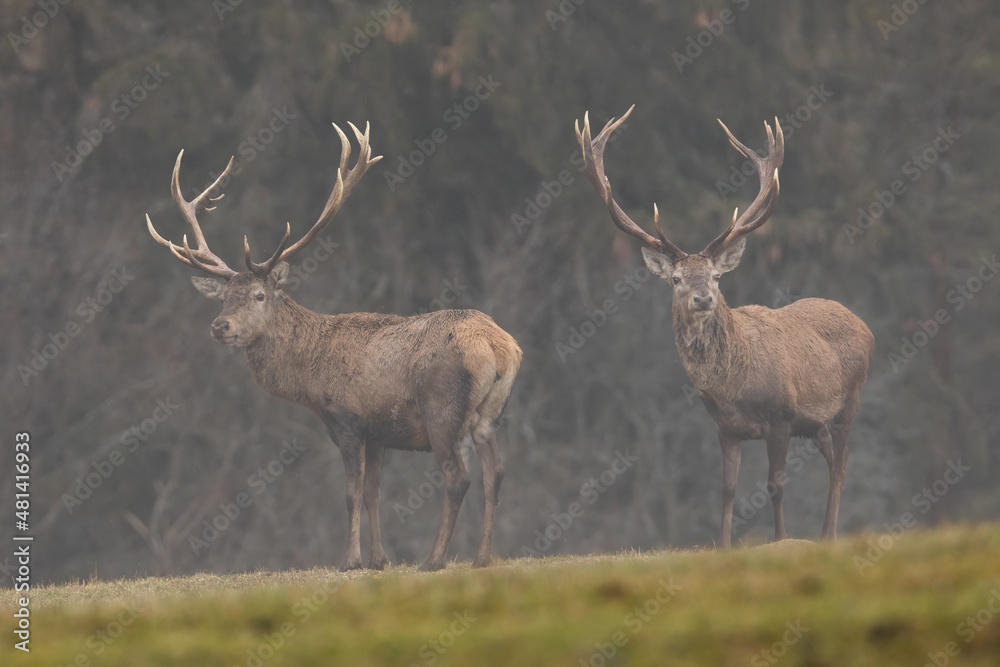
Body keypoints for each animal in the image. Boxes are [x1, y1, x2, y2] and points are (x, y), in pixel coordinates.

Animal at [145, 120, 521, 571]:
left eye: (258, 295)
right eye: (222, 298)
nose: (220, 326)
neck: (309, 376)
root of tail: (499, 347)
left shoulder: (347, 420)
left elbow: (350, 493)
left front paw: (351, 560)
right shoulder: (378, 433)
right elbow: (374, 493)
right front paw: (379, 559)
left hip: (442, 409)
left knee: (458, 477)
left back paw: (434, 559)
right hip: (488, 413)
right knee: (495, 472)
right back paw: (483, 557)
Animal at [576, 105, 873, 548]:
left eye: (717, 276)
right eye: (677, 279)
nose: (704, 298)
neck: (734, 386)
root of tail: (865, 325)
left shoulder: (782, 416)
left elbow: (775, 484)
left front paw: (781, 540)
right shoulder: (726, 428)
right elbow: (727, 488)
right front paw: (723, 545)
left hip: (850, 399)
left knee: (840, 463)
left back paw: (827, 536)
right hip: (816, 423)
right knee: (839, 457)